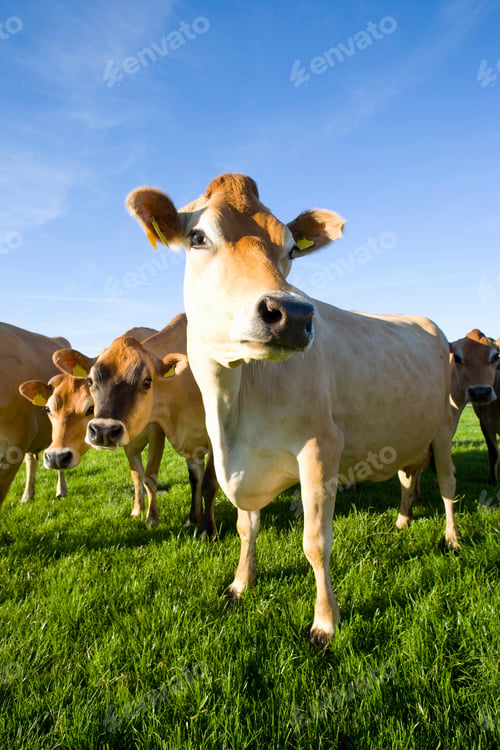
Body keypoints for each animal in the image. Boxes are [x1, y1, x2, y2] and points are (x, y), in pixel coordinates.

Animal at [19, 327, 167, 525]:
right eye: (48, 409)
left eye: (90, 408)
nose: (56, 456)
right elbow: (136, 474)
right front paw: (137, 509)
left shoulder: (157, 431)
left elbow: (150, 476)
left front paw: (152, 517)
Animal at [52, 314, 218, 538]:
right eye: (90, 380)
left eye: (147, 381)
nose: (103, 431)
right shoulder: (187, 440)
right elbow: (194, 480)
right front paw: (192, 519)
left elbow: (208, 483)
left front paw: (206, 531)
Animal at [124, 173, 458, 646]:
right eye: (198, 237)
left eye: (291, 250)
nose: (293, 314)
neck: (234, 408)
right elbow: (246, 528)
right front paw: (240, 584)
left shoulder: (321, 448)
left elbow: (316, 542)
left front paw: (325, 622)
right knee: (409, 478)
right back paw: (401, 523)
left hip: (444, 427)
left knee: (447, 485)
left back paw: (451, 538)